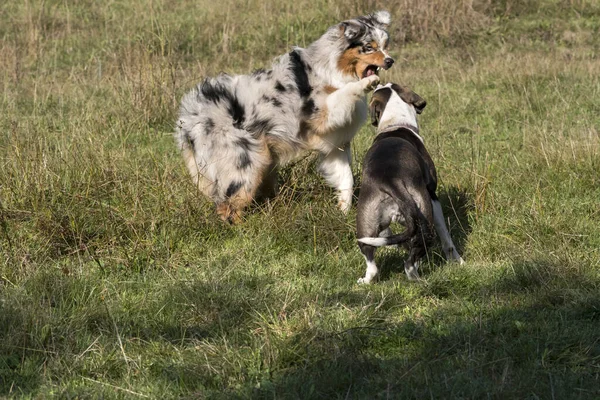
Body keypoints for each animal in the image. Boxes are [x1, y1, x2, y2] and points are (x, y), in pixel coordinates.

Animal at [176, 10, 396, 222]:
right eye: (369, 47)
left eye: (385, 46)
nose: (390, 61)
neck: (332, 67)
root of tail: (190, 119)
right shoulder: (322, 113)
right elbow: (345, 92)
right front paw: (365, 83)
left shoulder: (336, 144)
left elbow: (346, 179)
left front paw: (343, 211)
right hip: (246, 163)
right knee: (228, 207)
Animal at [356, 83, 464, 284]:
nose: (377, 82)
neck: (395, 123)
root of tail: (391, 181)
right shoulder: (433, 197)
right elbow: (446, 238)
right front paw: (457, 261)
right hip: (425, 219)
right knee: (409, 264)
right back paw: (420, 280)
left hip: (365, 225)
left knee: (372, 264)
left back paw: (366, 280)